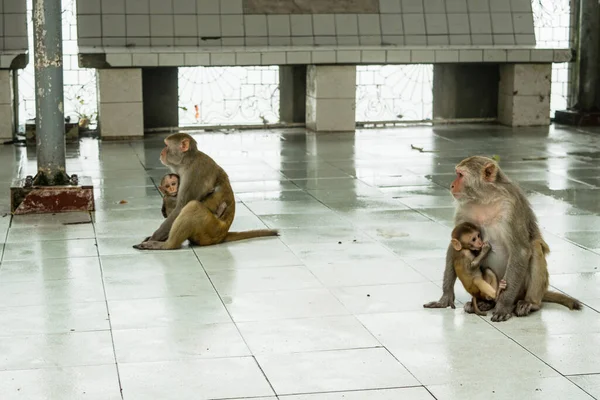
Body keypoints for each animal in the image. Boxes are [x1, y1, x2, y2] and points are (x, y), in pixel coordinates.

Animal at [134, 133, 278, 248]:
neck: (187, 161)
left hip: (211, 230)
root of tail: (223, 233)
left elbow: (181, 206)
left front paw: (153, 238)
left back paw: (167, 245)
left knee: (192, 206)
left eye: (166, 145)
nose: (162, 152)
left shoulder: (195, 172)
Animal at [422, 156, 580, 322]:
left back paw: (529, 303)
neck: (485, 199)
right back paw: (485, 303)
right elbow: (455, 246)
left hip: (520, 290)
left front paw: (503, 307)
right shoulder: (463, 208)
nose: (452, 185)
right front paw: (445, 297)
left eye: (460, 175)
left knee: (535, 247)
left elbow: (521, 251)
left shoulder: (512, 206)